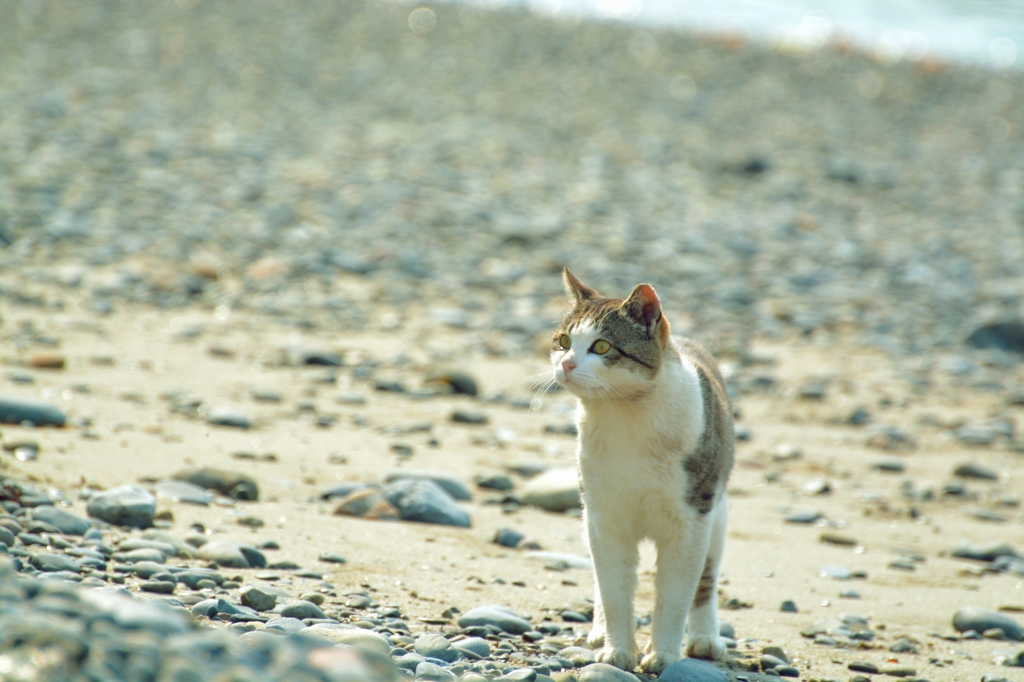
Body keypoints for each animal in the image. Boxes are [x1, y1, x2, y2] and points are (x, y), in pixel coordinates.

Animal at [552, 266, 737, 667]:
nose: (566, 363)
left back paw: (704, 638)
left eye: (601, 346)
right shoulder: (603, 516)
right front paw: (617, 650)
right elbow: (613, 587)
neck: (625, 416)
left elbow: (677, 594)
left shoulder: (691, 521)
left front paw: (663, 654)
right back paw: (599, 632)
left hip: (717, 513)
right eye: (562, 342)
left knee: (707, 579)